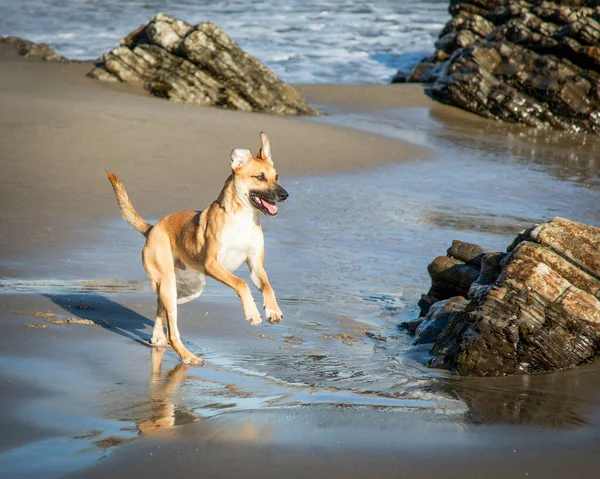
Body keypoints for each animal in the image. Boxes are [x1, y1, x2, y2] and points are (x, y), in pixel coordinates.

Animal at [106, 131, 290, 364]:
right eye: (260, 177)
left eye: (277, 177)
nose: (285, 195)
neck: (242, 218)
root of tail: (152, 229)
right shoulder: (213, 264)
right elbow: (241, 284)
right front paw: (253, 313)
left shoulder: (255, 265)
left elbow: (267, 286)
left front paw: (273, 310)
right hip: (168, 283)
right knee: (172, 330)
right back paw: (187, 356)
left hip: (184, 291)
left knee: (161, 307)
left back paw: (157, 337)